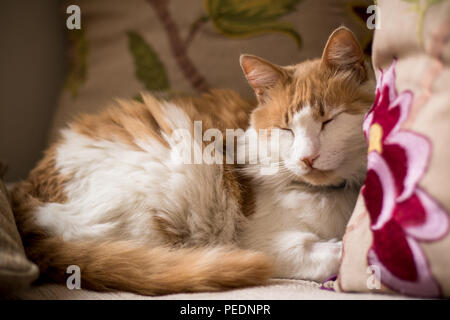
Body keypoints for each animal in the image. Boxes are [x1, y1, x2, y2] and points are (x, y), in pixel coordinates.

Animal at [10, 26, 374, 294]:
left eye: (329, 121)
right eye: (286, 130)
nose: (307, 158)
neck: (331, 195)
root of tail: (23, 201)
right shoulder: (261, 242)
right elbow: (320, 253)